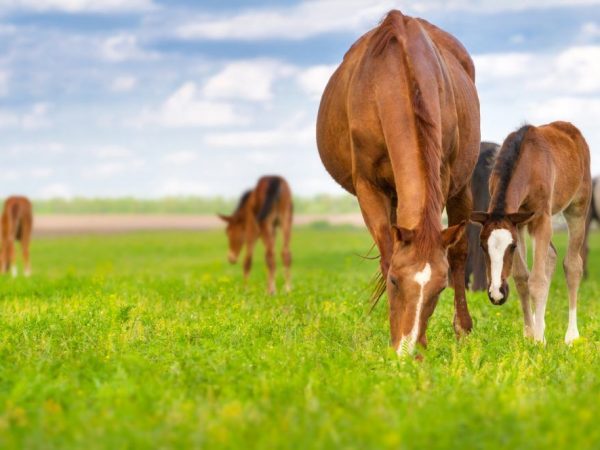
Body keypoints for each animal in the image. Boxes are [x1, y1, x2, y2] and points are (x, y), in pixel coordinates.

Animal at [316, 7, 480, 356]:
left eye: (439, 288)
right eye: (394, 281)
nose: (408, 349)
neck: (393, 80)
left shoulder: (442, 178)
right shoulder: (368, 187)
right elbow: (387, 254)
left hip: (460, 188)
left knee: (460, 253)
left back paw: (462, 329)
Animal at [468, 121, 592, 342]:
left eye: (512, 246)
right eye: (482, 246)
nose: (497, 294)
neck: (528, 164)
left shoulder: (542, 218)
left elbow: (537, 280)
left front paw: (539, 340)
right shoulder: (518, 223)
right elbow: (521, 278)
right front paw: (529, 333)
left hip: (577, 208)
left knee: (573, 265)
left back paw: (571, 336)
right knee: (551, 255)